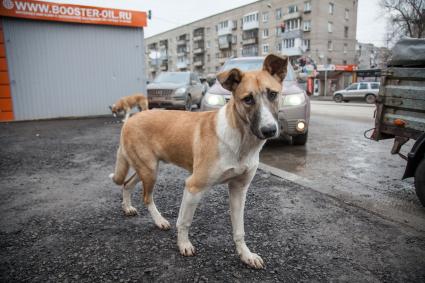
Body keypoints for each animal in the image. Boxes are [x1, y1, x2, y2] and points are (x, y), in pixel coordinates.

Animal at [109, 54, 288, 270]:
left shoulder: (239, 189)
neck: (240, 140)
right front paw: (184, 245)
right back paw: (159, 220)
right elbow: (184, 221)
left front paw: (245, 254)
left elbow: (239, 229)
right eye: (248, 99)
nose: (269, 130)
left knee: (127, 184)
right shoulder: (193, 186)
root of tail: (130, 119)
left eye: (273, 94)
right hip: (150, 170)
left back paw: (127, 207)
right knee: (146, 197)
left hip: (146, 168)